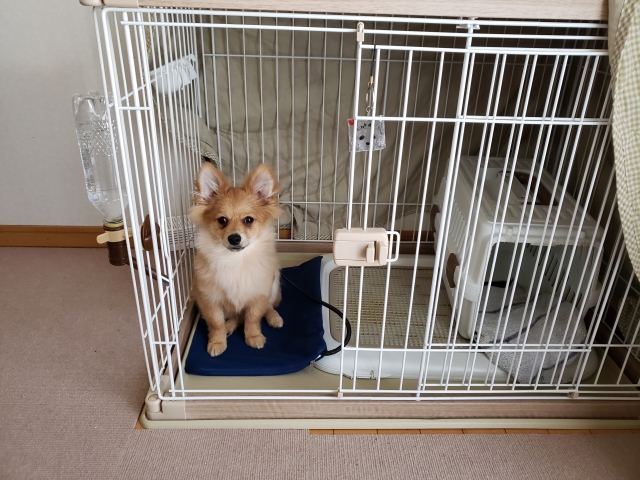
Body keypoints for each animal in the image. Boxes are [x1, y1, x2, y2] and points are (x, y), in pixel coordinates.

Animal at [190, 162, 283, 357]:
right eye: (222, 220)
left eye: (248, 220)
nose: (234, 238)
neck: (235, 260)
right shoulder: (209, 299)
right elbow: (216, 323)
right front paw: (217, 341)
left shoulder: (259, 295)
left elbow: (253, 318)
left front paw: (253, 336)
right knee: (236, 317)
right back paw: (229, 327)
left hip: (274, 286)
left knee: (268, 307)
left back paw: (274, 318)